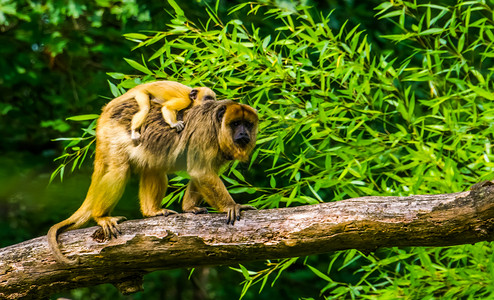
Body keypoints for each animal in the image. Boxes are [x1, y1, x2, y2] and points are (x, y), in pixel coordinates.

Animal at [47, 96, 258, 264]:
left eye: (247, 124)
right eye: (235, 123)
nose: (243, 134)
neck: (218, 125)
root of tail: (104, 116)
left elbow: (202, 173)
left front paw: (189, 207)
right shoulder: (204, 133)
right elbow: (201, 171)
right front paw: (232, 206)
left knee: (155, 167)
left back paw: (152, 211)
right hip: (114, 135)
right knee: (119, 170)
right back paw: (101, 216)